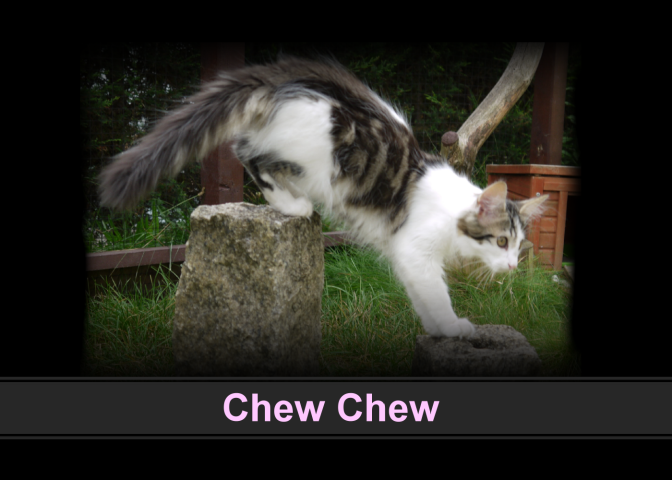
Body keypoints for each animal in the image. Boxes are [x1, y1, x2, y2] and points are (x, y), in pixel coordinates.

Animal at [99, 55, 548, 339]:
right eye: (501, 241)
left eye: (519, 246)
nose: (512, 266)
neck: (453, 212)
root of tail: (280, 79)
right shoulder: (416, 250)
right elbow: (437, 296)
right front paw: (455, 328)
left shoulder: (408, 260)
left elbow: (424, 300)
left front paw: (439, 331)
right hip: (317, 158)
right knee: (248, 153)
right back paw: (293, 204)